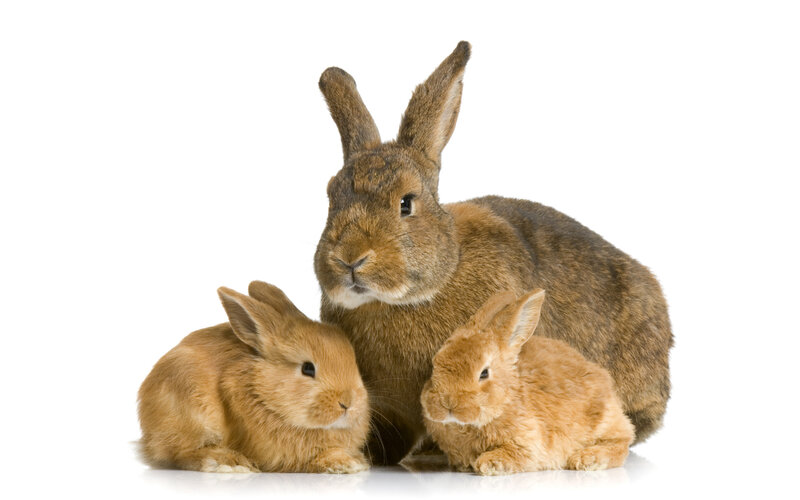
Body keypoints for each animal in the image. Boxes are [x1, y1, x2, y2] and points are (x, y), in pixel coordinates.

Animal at [137, 281, 370, 473]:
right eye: (307, 369)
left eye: (353, 361)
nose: (348, 403)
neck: (262, 391)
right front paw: (346, 463)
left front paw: (358, 460)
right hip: (190, 410)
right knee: (181, 454)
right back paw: (228, 462)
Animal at [421, 289, 635, 475]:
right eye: (435, 364)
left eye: (484, 373)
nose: (447, 404)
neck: (506, 400)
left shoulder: (528, 443)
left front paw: (488, 464)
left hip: (602, 421)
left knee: (622, 443)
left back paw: (587, 459)